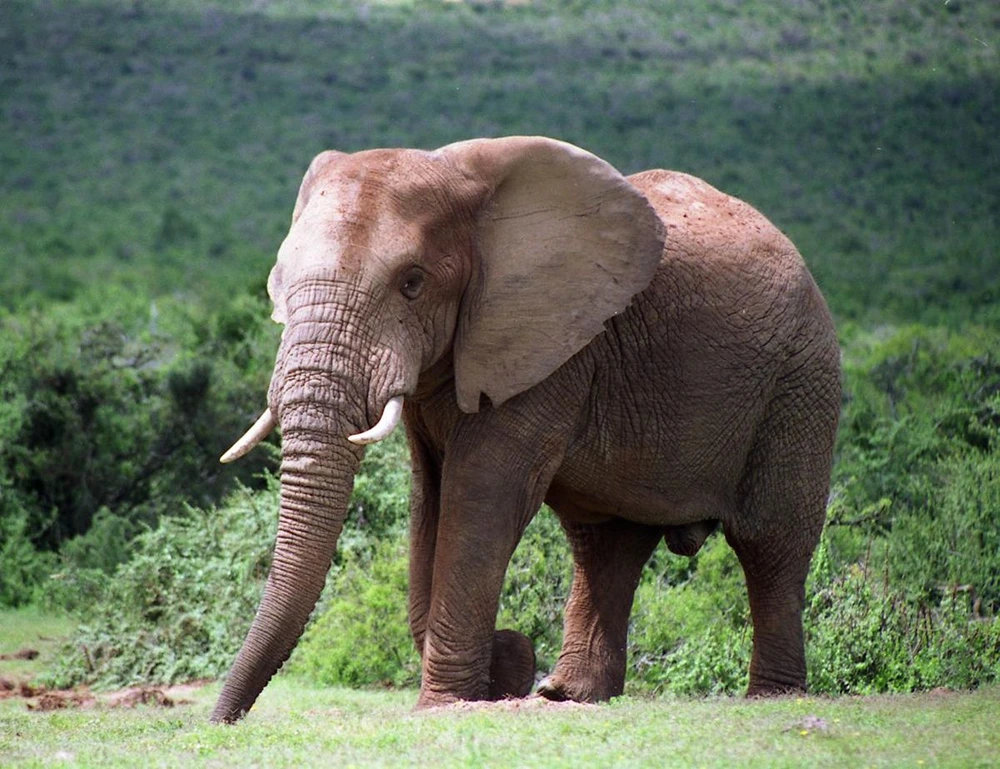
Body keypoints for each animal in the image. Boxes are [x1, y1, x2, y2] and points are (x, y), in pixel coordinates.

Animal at [209, 136, 841, 724]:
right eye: (278, 286)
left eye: (412, 282)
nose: (220, 723)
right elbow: (429, 497)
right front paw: (501, 668)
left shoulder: (550, 346)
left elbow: (480, 495)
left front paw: (449, 701)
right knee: (605, 544)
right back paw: (568, 696)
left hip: (801, 378)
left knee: (771, 542)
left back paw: (773, 696)